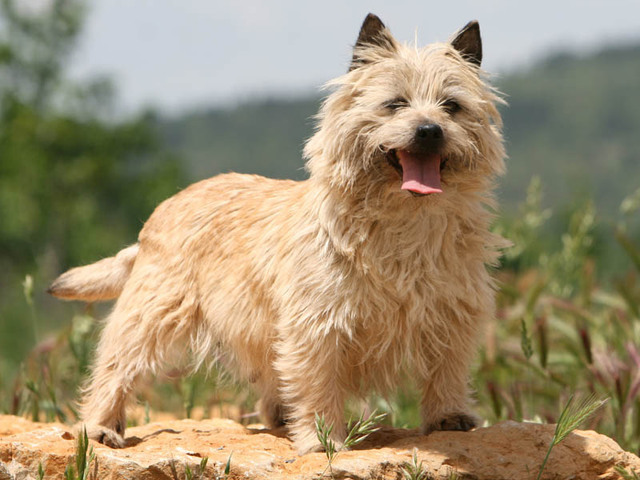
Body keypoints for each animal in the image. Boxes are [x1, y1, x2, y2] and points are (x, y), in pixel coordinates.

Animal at [48, 12, 504, 454]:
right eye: (395, 104)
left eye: (452, 106)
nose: (429, 130)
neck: (405, 220)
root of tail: (160, 211)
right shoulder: (318, 324)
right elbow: (318, 382)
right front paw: (323, 438)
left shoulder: (453, 314)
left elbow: (447, 368)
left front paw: (448, 417)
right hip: (152, 313)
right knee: (116, 366)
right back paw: (101, 427)